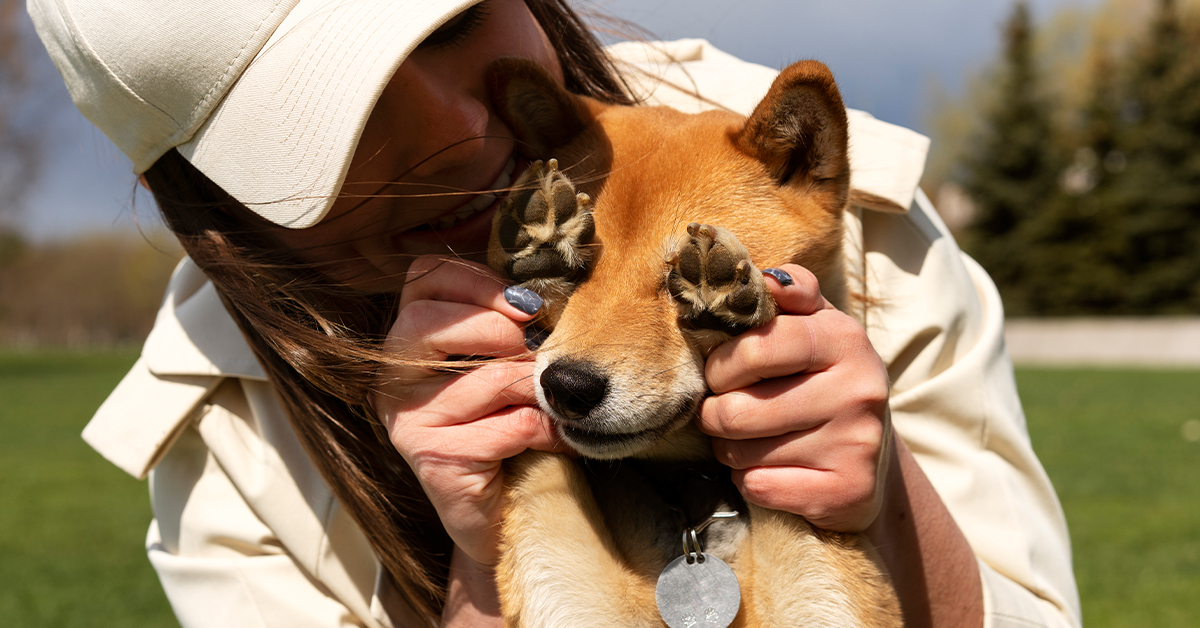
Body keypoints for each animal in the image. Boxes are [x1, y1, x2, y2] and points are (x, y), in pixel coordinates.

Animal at [484, 57, 902, 628]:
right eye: (575, 271)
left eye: (676, 276)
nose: (566, 386)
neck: (690, 503)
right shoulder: (577, 597)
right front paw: (543, 236)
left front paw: (726, 292)